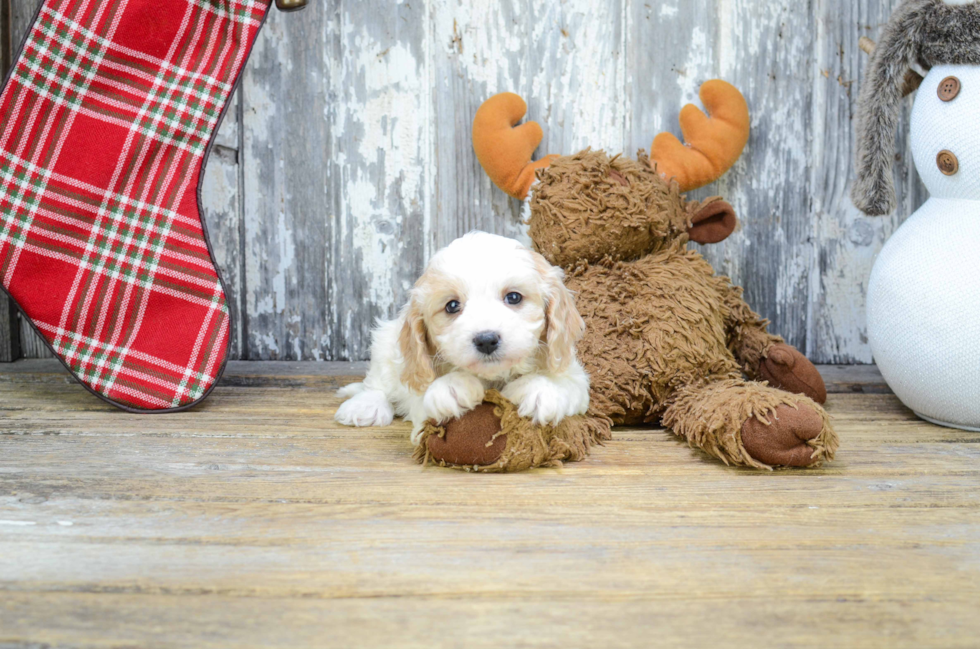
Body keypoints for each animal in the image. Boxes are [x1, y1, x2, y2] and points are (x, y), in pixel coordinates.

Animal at [334, 229, 588, 446]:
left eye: (514, 297)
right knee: (379, 382)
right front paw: (451, 387)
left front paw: (539, 390)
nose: (486, 340)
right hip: (386, 340)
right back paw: (365, 406)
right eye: (452, 306)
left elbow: (565, 383)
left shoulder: (574, 374)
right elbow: (424, 395)